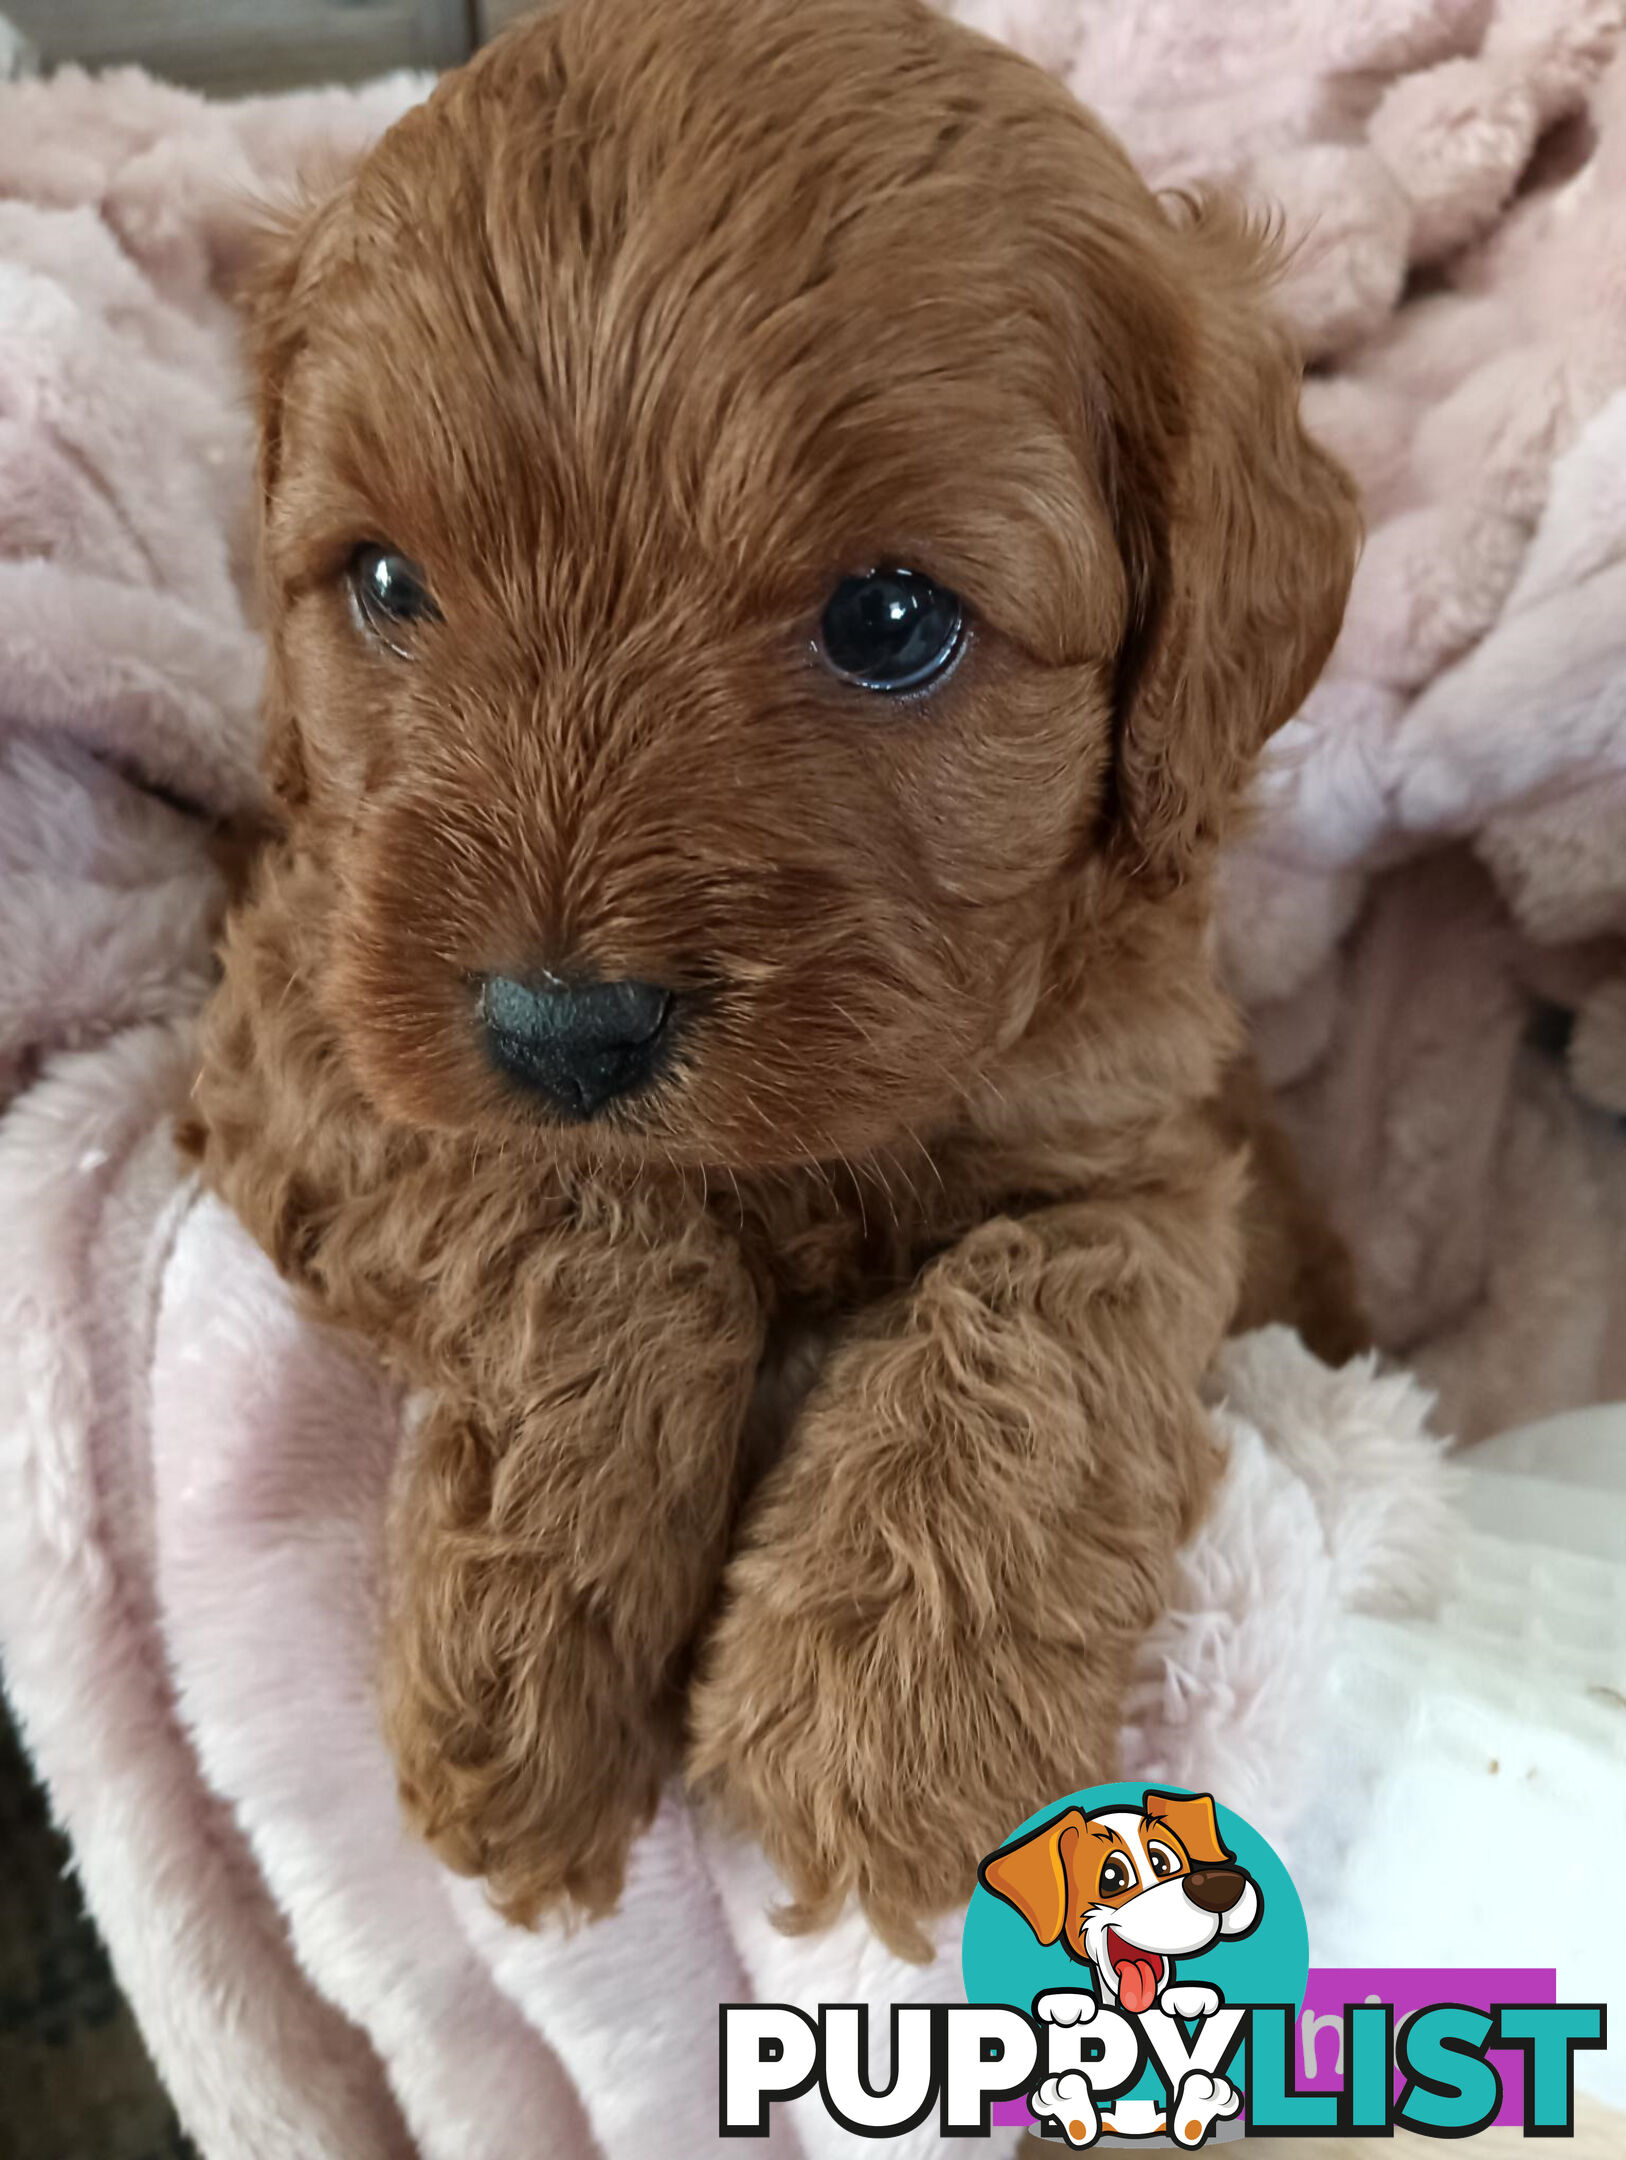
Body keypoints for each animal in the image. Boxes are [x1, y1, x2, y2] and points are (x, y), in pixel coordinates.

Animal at [186, 0, 1356, 1961]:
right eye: (385, 583)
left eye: (891, 622)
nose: (562, 1031)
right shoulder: (304, 1002)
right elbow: (589, 1225)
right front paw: (537, 1676)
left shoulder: (1157, 1136)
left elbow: (1055, 1301)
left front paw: (883, 1710)